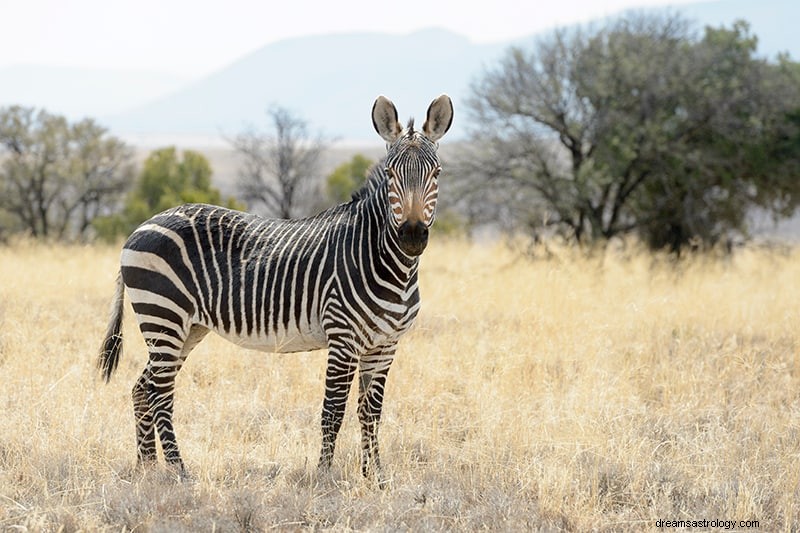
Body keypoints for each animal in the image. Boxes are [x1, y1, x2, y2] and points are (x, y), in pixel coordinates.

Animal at [97, 93, 454, 484]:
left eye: (436, 173)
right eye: (390, 175)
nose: (412, 236)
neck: (388, 264)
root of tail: (140, 227)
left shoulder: (385, 345)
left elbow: (370, 412)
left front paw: (374, 477)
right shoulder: (342, 338)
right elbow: (333, 411)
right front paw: (324, 477)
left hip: (186, 328)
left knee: (142, 389)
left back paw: (147, 468)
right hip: (164, 316)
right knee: (160, 394)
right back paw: (179, 470)